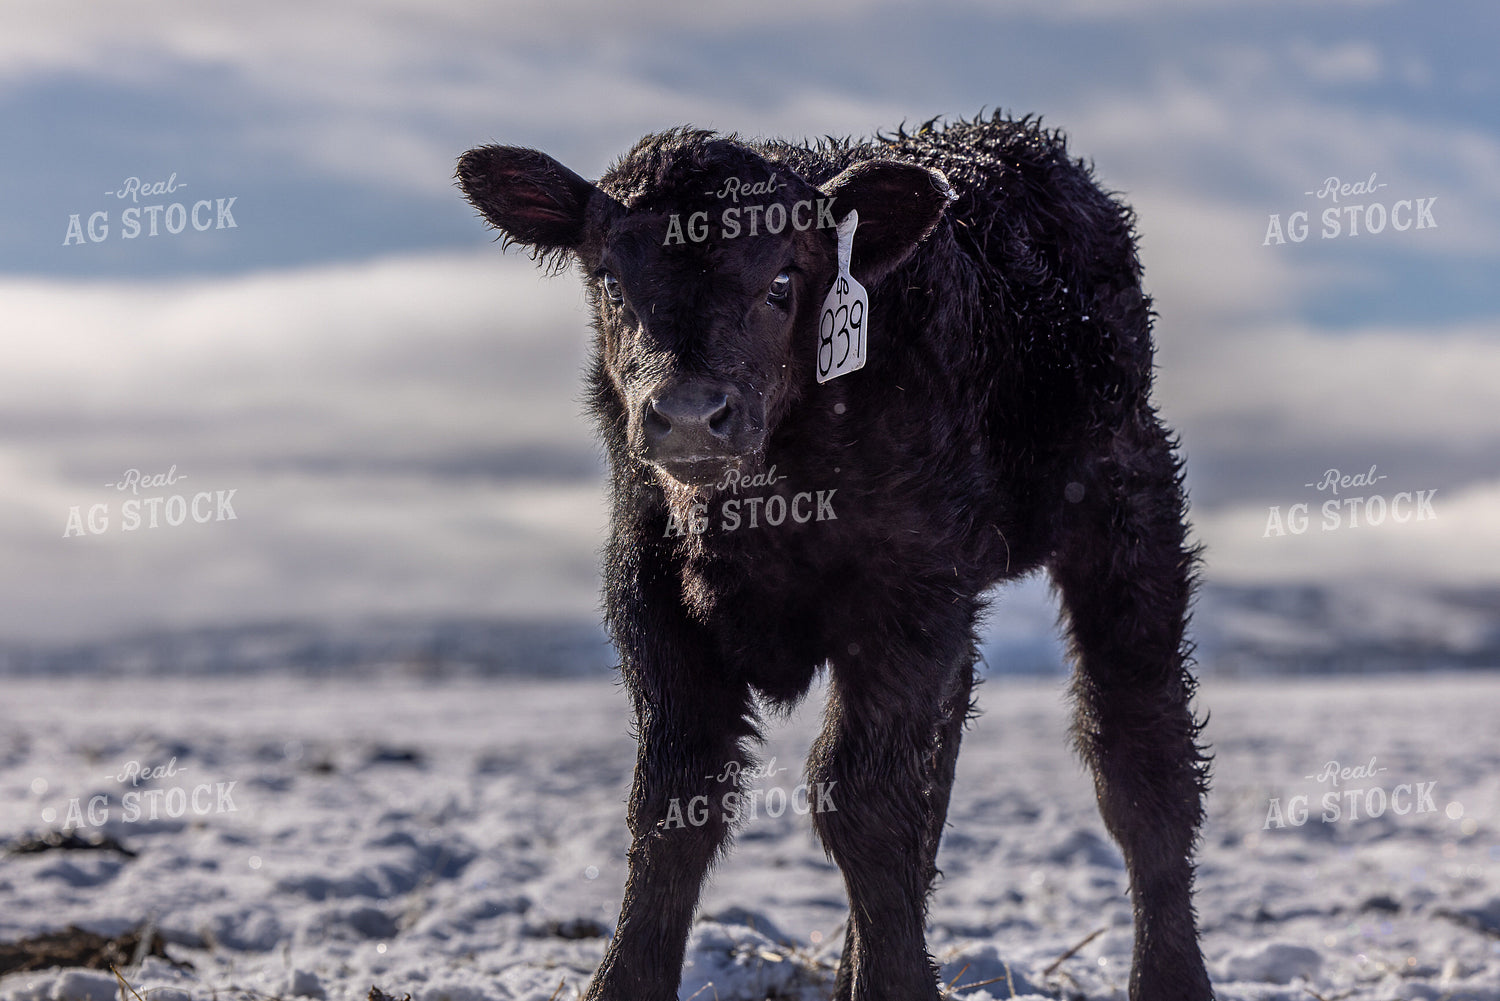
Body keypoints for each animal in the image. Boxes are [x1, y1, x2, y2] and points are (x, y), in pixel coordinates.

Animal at [457, 112, 1213, 1001]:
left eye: (784, 282)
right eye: (610, 280)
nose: (689, 414)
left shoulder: (906, 596)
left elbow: (862, 801)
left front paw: (896, 985)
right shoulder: (650, 590)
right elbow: (676, 802)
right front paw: (622, 983)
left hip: (1127, 510)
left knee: (1139, 758)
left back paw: (1171, 975)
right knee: (942, 761)